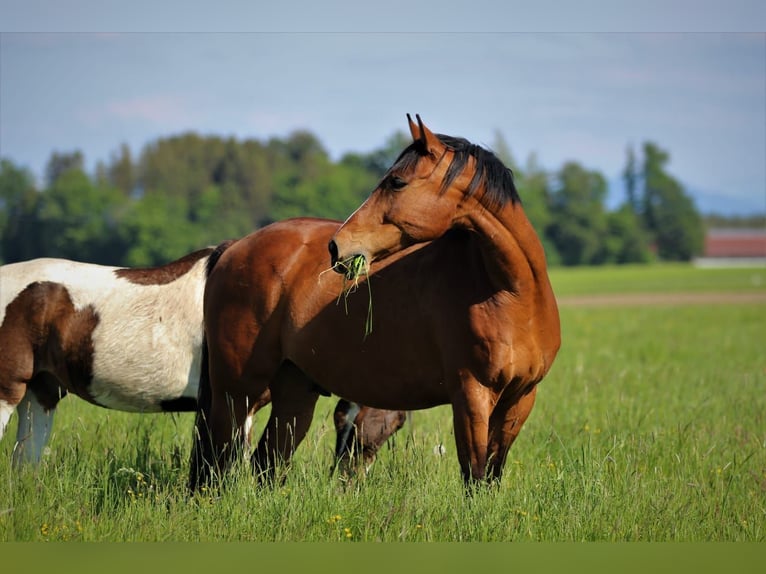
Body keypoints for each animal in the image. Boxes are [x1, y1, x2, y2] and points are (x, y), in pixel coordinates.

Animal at [192, 117, 560, 490]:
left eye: (397, 181)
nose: (336, 247)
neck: (509, 294)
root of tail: (236, 247)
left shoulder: (519, 399)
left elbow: (492, 474)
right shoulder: (471, 397)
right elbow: (475, 475)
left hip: (294, 390)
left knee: (266, 461)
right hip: (237, 390)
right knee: (217, 462)